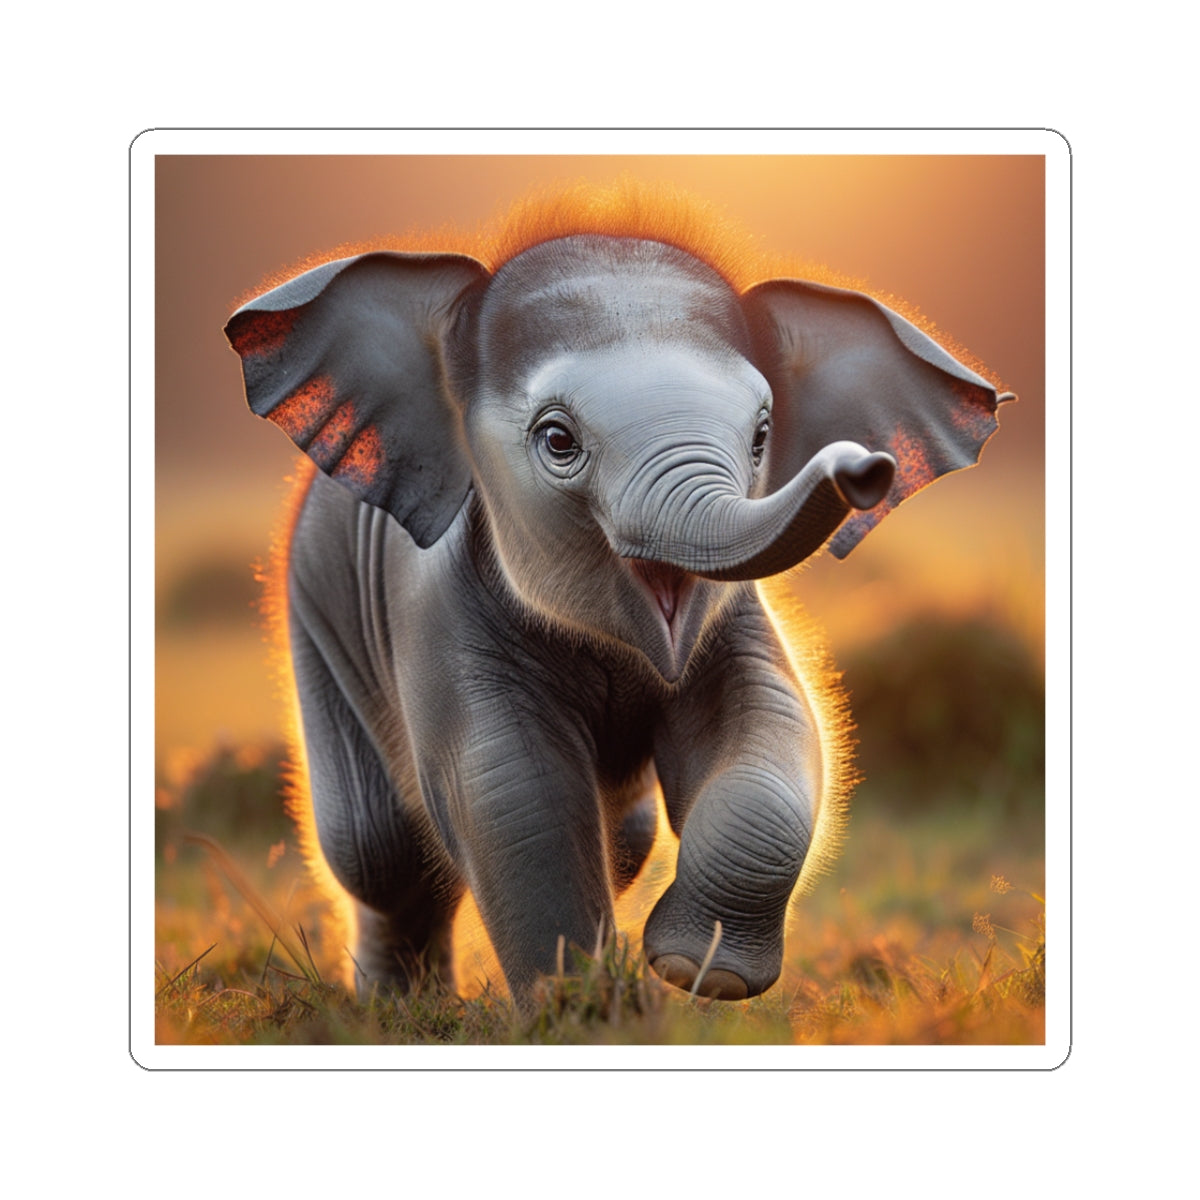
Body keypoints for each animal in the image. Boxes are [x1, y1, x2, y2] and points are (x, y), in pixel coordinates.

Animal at [225, 227, 1009, 1006]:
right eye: (558, 441)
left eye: (762, 437)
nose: (867, 468)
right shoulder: (436, 604)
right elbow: (510, 786)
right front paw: (580, 1009)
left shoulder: (733, 616)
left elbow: (773, 721)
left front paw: (698, 974)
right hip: (316, 613)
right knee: (378, 850)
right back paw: (401, 1006)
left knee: (622, 837)